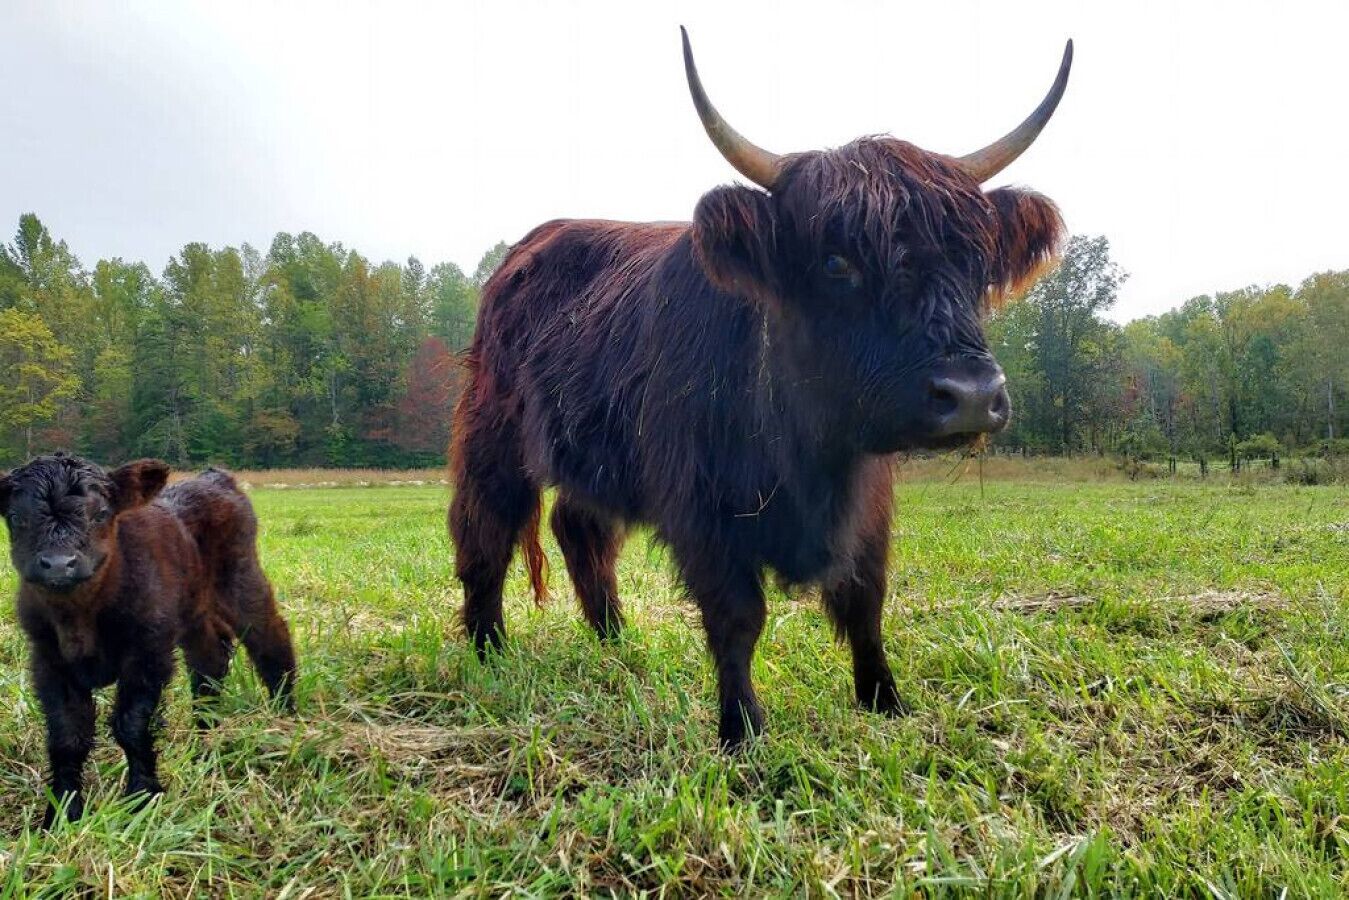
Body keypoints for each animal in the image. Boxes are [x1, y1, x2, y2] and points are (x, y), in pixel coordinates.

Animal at [0, 453, 297, 826]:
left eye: (101, 514)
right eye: (16, 517)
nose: (58, 564)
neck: (79, 619)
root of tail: (214, 478)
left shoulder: (147, 650)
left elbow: (131, 725)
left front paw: (141, 800)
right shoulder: (48, 661)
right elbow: (67, 737)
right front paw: (62, 813)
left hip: (240, 580)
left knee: (270, 639)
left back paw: (284, 717)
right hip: (192, 610)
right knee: (210, 658)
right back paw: (204, 739)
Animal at [449, 29, 1072, 748]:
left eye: (973, 261)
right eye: (835, 262)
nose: (970, 394)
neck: (809, 452)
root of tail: (531, 245)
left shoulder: (868, 504)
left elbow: (866, 602)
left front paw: (885, 701)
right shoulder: (703, 509)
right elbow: (737, 617)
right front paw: (742, 729)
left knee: (581, 529)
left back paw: (616, 643)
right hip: (493, 436)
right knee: (486, 532)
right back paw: (489, 650)